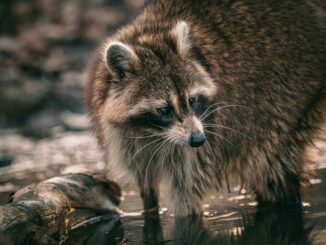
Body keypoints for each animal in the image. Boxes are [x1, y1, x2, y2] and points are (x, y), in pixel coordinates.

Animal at [85, 0, 324, 214]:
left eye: (192, 100)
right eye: (164, 110)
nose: (198, 139)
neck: (152, 132)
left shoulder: (206, 142)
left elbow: (187, 196)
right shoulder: (126, 141)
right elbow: (147, 189)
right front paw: (150, 212)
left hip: (288, 107)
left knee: (272, 167)